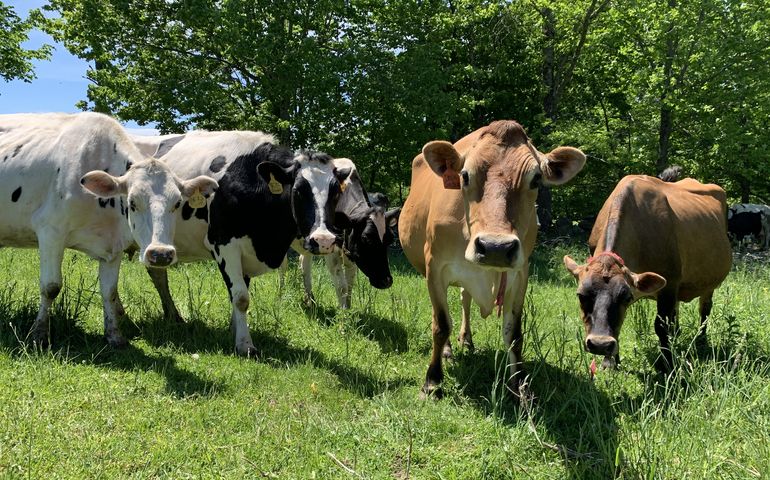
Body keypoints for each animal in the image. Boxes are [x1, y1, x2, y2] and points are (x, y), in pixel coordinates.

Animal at [0, 112, 217, 347]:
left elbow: (110, 292)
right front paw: (39, 335)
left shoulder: (113, 246)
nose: (160, 254)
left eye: (177, 203)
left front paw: (115, 336)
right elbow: (50, 287)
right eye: (132, 202)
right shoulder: (50, 231)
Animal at [131, 130, 352, 356]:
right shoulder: (224, 243)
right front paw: (245, 344)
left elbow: (238, 292)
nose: (324, 240)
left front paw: (234, 329)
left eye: (336, 192)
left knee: (157, 273)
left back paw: (173, 317)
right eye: (298, 190)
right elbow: (241, 297)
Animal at [292, 163, 398, 309]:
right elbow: (342, 286)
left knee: (304, 263)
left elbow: (349, 284)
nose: (386, 281)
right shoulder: (331, 251)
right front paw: (343, 313)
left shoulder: (351, 251)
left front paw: (347, 308)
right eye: (366, 238)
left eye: (390, 239)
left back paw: (310, 301)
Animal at [399, 120, 586, 398]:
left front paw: (520, 386)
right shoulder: (435, 268)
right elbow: (441, 324)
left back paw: (466, 339)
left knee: (465, 298)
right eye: (464, 175)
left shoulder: (520, 273)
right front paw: (432, 381)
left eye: (536, 179)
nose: (495, 247)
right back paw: (448, 352)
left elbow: (514, 334)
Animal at [563, 175, 732, 371]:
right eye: (581, 295)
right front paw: (610, 362)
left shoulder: (669, 283)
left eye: (626, 297)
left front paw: (667, 364)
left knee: (704, 310)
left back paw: (701, 340)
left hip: (708, 283)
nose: (600, 344)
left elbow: (661, 326)